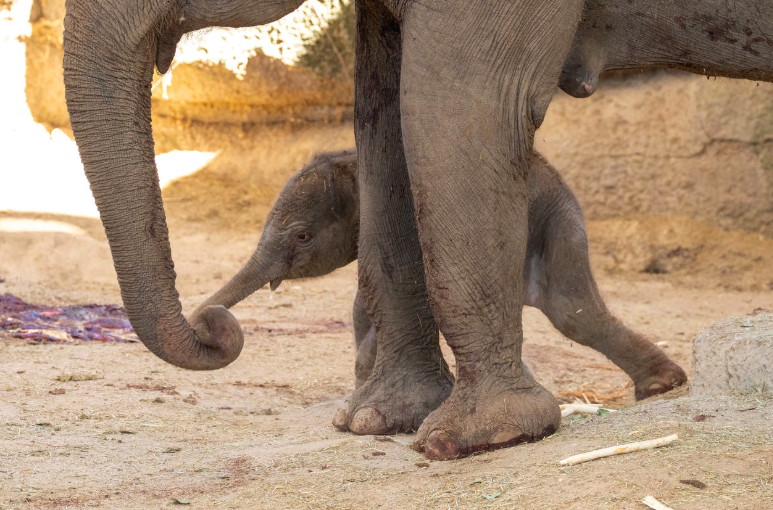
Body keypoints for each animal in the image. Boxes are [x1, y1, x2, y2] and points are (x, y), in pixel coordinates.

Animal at [191, 148, 687, 397]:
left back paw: (662, 386)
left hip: (556, 221)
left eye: (302, 236)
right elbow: (364, 303)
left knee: (572, 312)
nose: (208, 322)